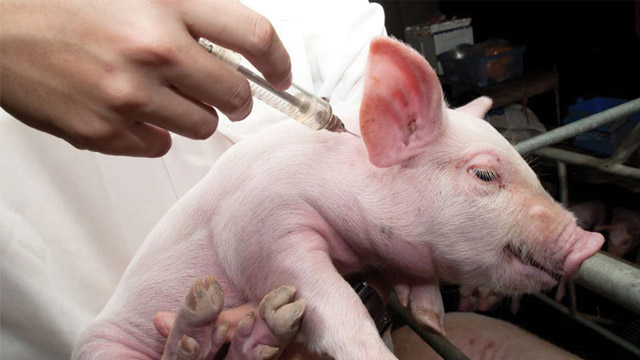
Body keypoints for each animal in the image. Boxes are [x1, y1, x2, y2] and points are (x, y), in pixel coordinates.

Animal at [72, 37, 604, 360]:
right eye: (485, 174)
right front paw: (376, 352)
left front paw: (431, 319)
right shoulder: (257, 226)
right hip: (101, 346)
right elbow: (333, 301)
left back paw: (259, 329)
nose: (590, 241)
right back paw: (202, 312)